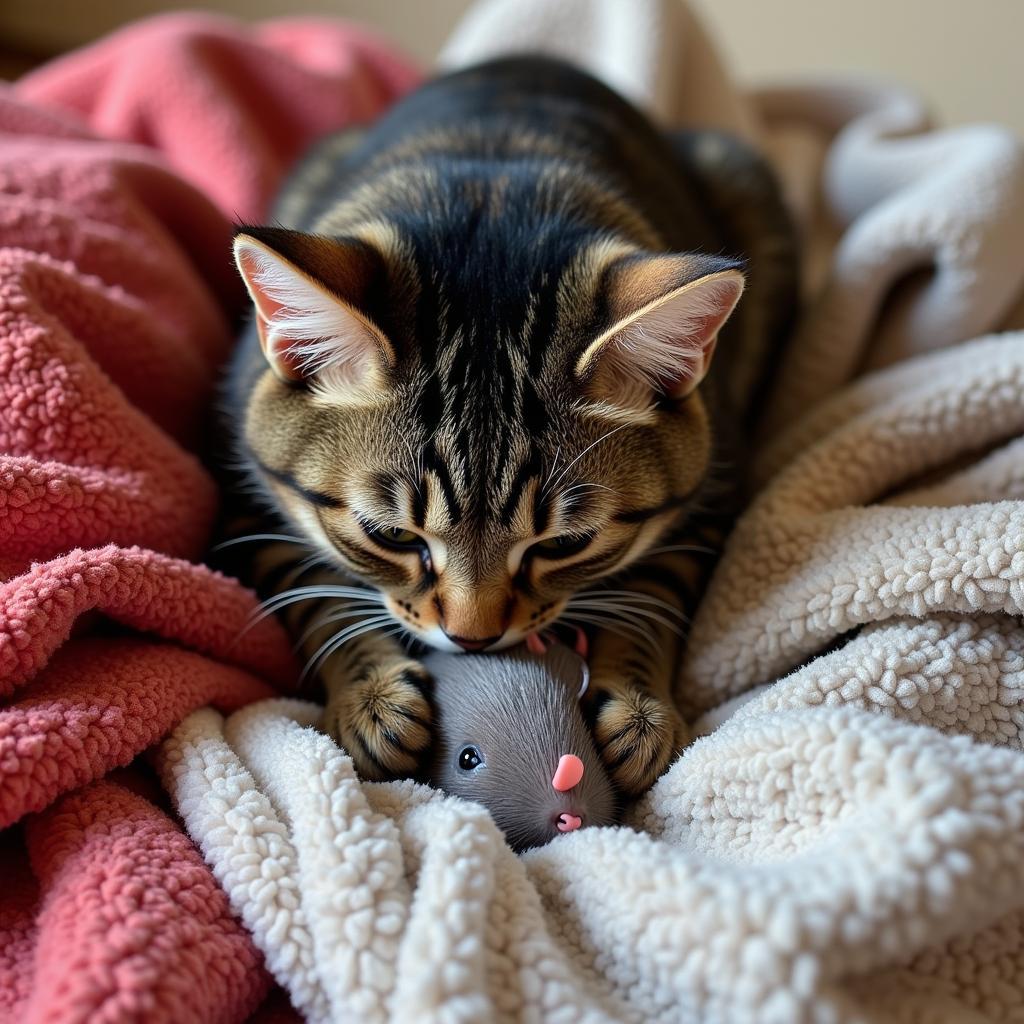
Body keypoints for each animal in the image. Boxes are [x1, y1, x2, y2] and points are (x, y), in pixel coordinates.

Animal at [218, 56, 798, 794]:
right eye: (389, 535)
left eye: (565, 544)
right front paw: (372, 697)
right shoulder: (245, 502)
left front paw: (638, 705)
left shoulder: (712, 493)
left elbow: (654, 590)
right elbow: (313, 594)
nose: (473, 639)